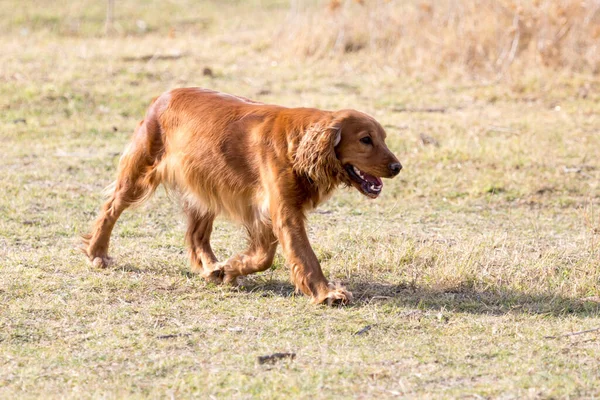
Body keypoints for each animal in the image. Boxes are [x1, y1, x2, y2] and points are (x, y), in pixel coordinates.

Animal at [83, 88, 404, 306]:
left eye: (383, 138)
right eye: (365, 140)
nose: (397, 167)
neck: (297, 143)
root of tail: (164, 95)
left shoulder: (267, 215)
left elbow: (262, 257)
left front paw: (229, 269)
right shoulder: (284, 213)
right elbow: (304, 256)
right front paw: (326, 293)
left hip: (205, 184)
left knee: (197, 236)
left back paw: (211, 268)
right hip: (139, 174)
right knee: (111, 209)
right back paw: (97, 252)